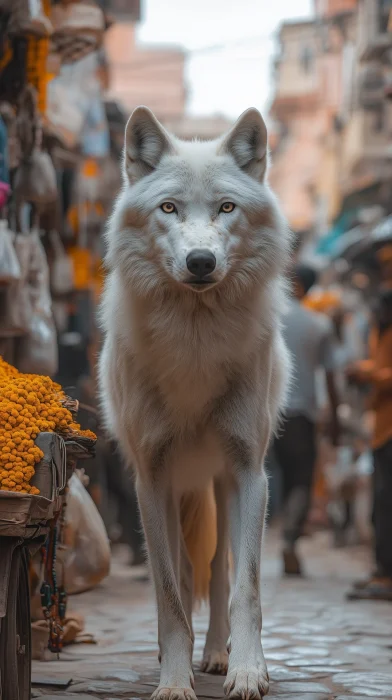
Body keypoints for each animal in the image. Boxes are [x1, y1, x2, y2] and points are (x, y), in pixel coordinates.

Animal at [99, 105, 292, 700]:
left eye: (227, 207)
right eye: (169, 208)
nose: (201, 261)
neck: (195, 345)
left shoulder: (251, 472)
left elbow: (246, 586)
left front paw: (248, 671)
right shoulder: (151, 478)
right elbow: (168, 594)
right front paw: (172, 681)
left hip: (222, 483)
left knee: (218, 571)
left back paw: (215, 655)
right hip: (176, 490)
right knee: (186, 574)